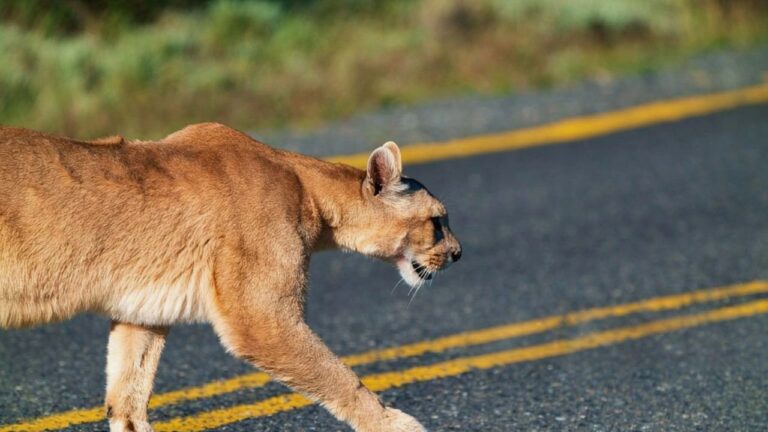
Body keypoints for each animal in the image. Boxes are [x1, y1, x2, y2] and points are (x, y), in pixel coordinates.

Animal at [0, 123, 462, 432]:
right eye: (437, 221)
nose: (458, 254)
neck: (308, 190)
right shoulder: (260, 318)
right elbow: (340, 377)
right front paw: (396, 424)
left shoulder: (142, 308)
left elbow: (127, 396)